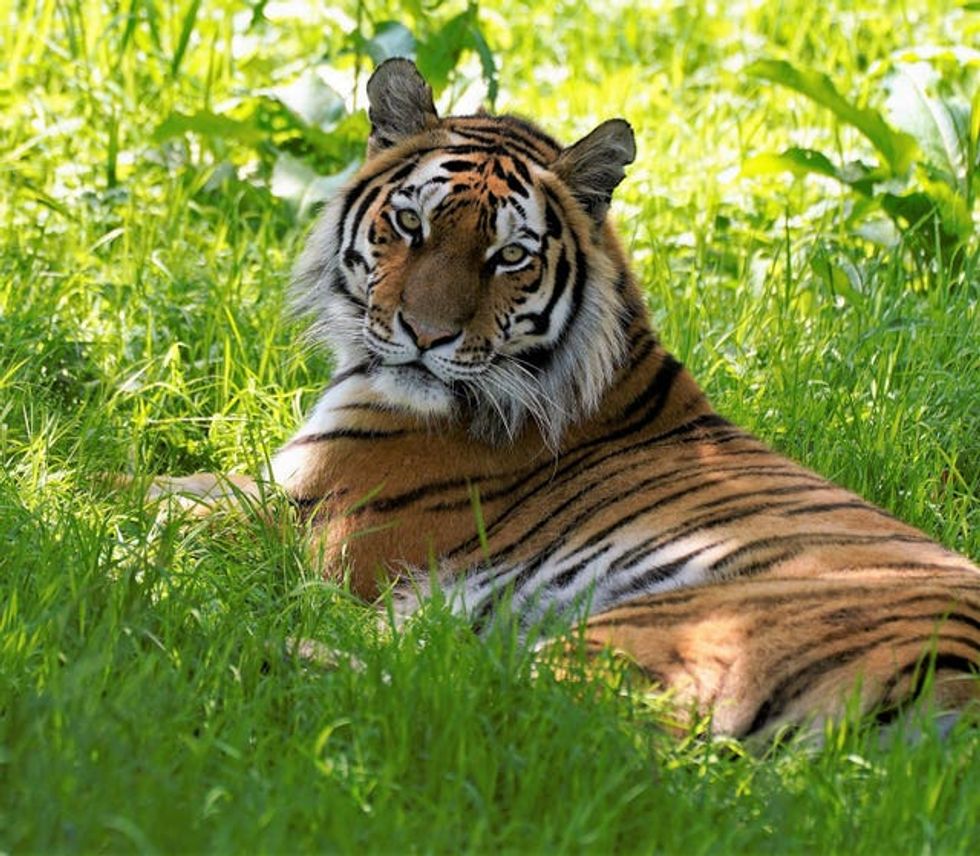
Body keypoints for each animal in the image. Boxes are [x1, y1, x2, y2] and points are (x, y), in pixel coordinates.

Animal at [151, 58, 980, 740]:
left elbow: (146, 497)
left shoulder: (308, 516)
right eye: (410, 223)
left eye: (510, 255)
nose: (425, 336)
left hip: (666, 625)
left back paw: (194, 631)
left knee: (464, 696)